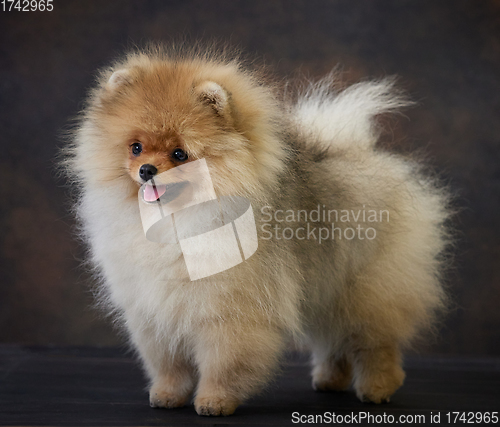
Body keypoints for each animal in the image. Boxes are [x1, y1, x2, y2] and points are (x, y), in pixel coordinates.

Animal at [62, 45, 450, 416]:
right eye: (136, 147)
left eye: (180, 154)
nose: (146, 170)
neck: (179, 218)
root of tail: (362, 155)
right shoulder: (153, 309)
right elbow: (168, 362)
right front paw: (168, 395)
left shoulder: (230, 309)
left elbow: (223, 362)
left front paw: (214, 401)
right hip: (327, 287)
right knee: (333, 338)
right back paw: (329, 380)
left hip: (365, 290)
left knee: (374, 343)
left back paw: (377, 387)